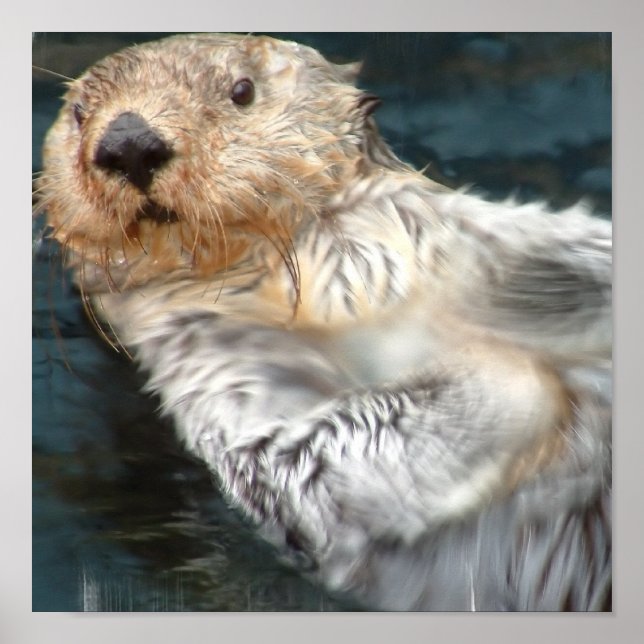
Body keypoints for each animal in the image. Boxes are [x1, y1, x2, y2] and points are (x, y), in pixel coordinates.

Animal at [37, 33, 611, 611]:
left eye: (241, 90)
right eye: (80, 112)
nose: (129, 141)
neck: (311, 291)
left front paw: (538, 291)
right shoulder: (212, 371)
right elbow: (308, 467)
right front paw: (505, 366)